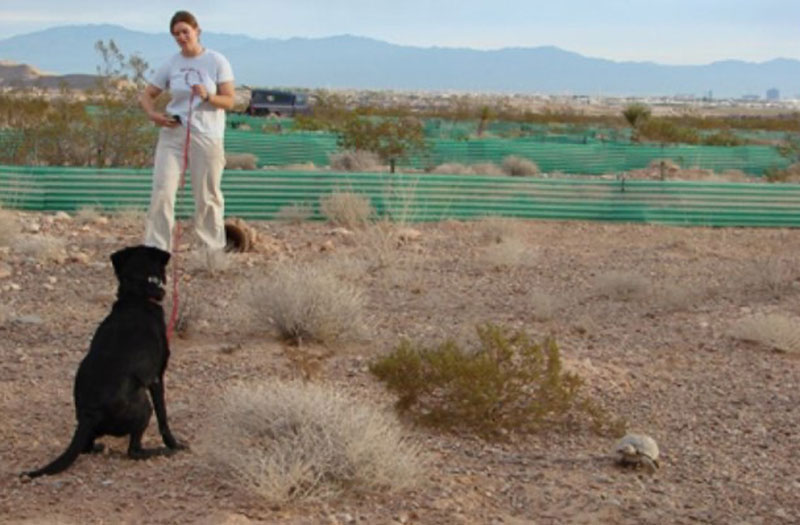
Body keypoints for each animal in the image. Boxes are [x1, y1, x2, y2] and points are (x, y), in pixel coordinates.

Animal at [25, 244, 186, 476]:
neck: (135, 296)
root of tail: (90, 414)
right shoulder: (156, 378)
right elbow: (163, 417)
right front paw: (173, 444)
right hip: (143, 404)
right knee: (133, 451)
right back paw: (158, 451)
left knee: (87, 446)